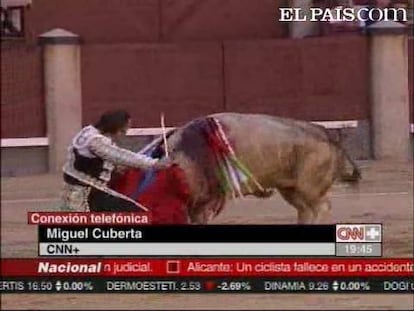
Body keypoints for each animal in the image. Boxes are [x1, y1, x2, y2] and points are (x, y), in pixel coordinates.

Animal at [154, 113, 360, 225]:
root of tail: (326, 134)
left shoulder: (204, 202)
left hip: (309, 187)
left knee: (321, 207)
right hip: (290, 189)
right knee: (305, 209)